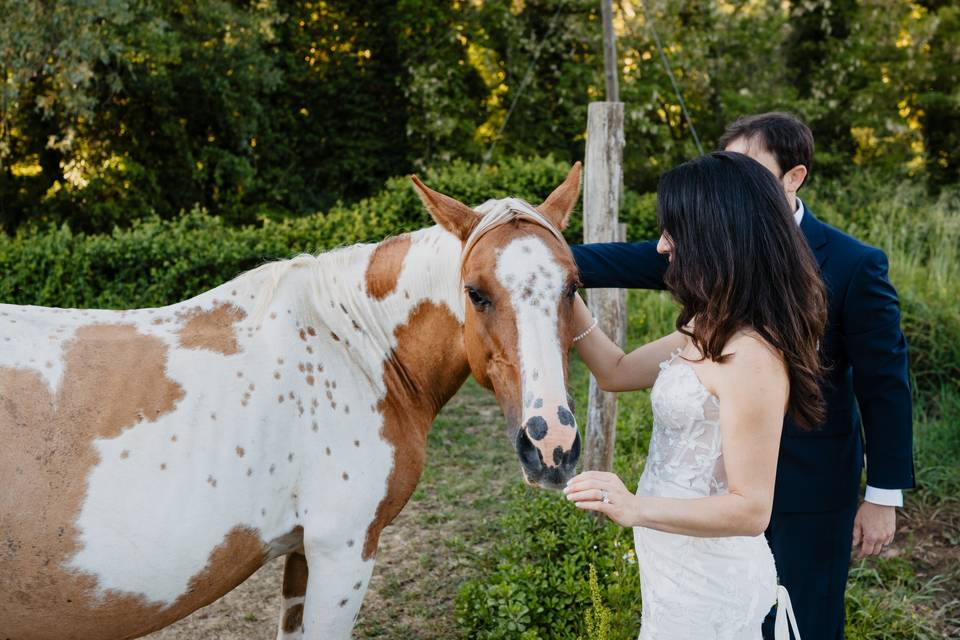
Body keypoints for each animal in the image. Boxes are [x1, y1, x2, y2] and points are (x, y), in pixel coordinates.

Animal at [0, 163, 585, 639]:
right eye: (476, 293)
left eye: (573, 287)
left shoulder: (304, 550)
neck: (350, 347)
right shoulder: (342, 549)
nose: (551, 445)